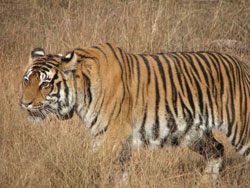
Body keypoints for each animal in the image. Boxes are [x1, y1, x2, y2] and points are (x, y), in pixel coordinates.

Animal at [20, 42, 250, 182]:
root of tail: (242, 64)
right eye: (26, 81)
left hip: (240, 129)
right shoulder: (116, 141)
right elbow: (121, 174)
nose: (24, 104)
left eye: (45, 84)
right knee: (217, 149)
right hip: (192, 133)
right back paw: (205, 182)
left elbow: (92, 167)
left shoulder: (110, 137)